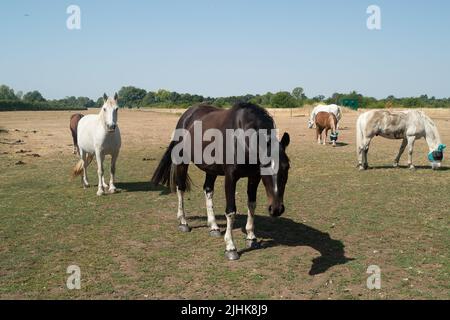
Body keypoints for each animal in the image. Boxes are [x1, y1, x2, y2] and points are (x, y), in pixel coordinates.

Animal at [151, 102, 292, 260]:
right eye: (265, 166)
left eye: (287, 167)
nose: (276, 209)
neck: (242, 138)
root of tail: (187, 114)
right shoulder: (231, 177)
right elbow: (231, 211)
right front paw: (230, 247)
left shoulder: (254, 177)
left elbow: (252, 205)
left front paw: (251, 237)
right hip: (183, 161)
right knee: (180, 188)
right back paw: (183, 222)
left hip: (210, 169)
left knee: (208, 190)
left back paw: (213, 226)